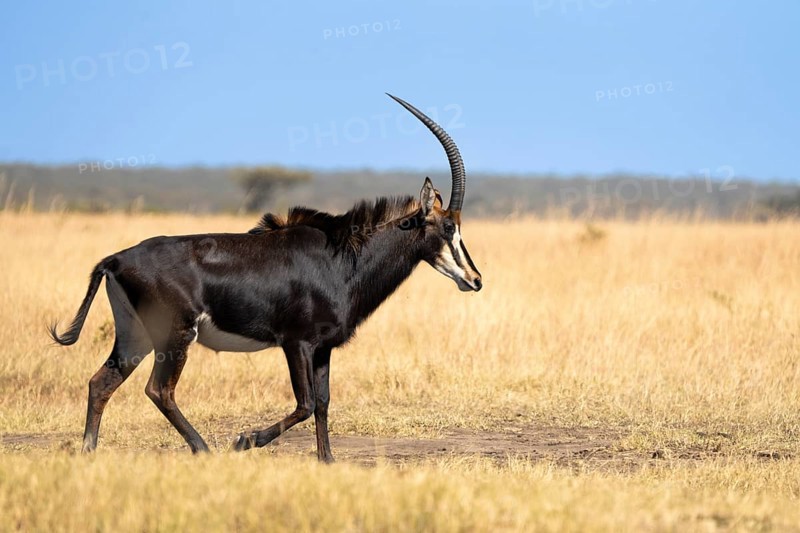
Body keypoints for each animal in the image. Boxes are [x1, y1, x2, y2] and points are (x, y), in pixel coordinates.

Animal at [49, 94, 482, 462]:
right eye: (448, 228)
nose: (476, 280)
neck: (344, 258)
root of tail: (115, 259)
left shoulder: (323, 348)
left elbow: (323, 403)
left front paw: (327, 461)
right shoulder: (296, 343)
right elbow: (305, 403)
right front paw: (246, 439)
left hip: (135, 335)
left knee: (101, 382)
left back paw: (89, 453)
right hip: (175, 335)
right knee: (159, 389)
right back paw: (204, 450)